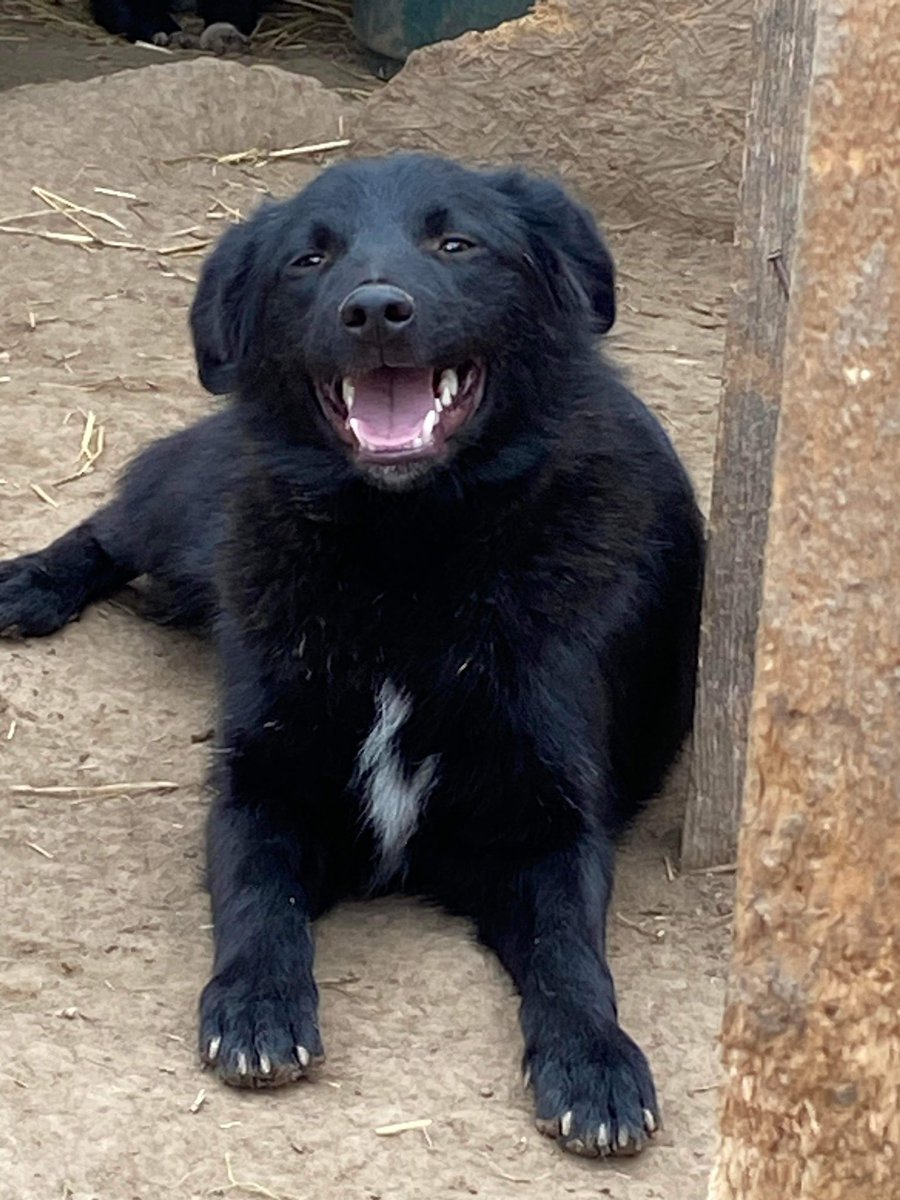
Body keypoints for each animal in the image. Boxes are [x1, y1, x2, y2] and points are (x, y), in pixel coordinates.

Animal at [0, 154, 705, 1156]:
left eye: (456, 244)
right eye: (310, 258)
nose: (374, 310)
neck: (403, 570)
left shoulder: (550, 823)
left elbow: (571, 955)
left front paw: (595, 1059)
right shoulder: (261, 787)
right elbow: (260, 903)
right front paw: (258, 1003)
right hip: (196, 522)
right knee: (115, 518)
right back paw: (33, 582)